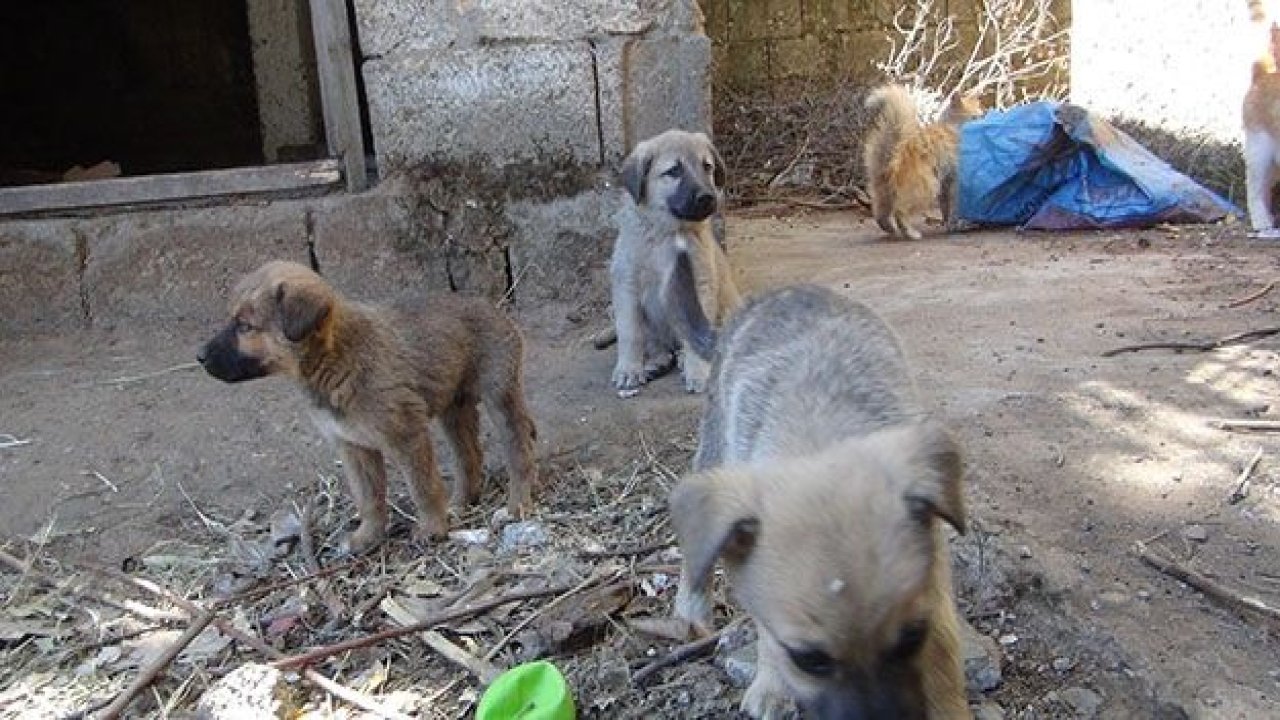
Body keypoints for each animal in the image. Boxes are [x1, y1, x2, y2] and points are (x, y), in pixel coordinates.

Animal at [197, 260, 537, 550]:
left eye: (245, 326)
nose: (199, 356)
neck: (335, 357)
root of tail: (491, 305)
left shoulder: (407, 436)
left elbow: (423, 488)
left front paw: (431, 528)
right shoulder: (353, 445)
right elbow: (369, 498)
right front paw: (367, 537)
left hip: (499, 395)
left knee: (519, 447)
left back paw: (517, 504)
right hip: (454, 407)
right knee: (469, 455)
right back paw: (461, 502)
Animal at [670, 284, 967, 717]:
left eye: (912, 637)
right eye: (809, 660)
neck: (822, 442)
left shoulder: (935, 581)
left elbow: (944, 648)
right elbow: (767, 632)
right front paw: (772, 685)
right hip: (714, 447)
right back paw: (690, 607)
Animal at [865, 84, 983, 239]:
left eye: (982, 116)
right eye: (974, 118)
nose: (984, 122)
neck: (952, 126)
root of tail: (894, 157)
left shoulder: (946, 183)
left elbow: (946, 208)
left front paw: (949, 225)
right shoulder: (953, 182)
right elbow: (953, 208)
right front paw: (954, 225)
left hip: (884, 193)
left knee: (880, 215)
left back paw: (891, 230)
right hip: (928, 187)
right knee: (900, 211)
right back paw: (911, 233)